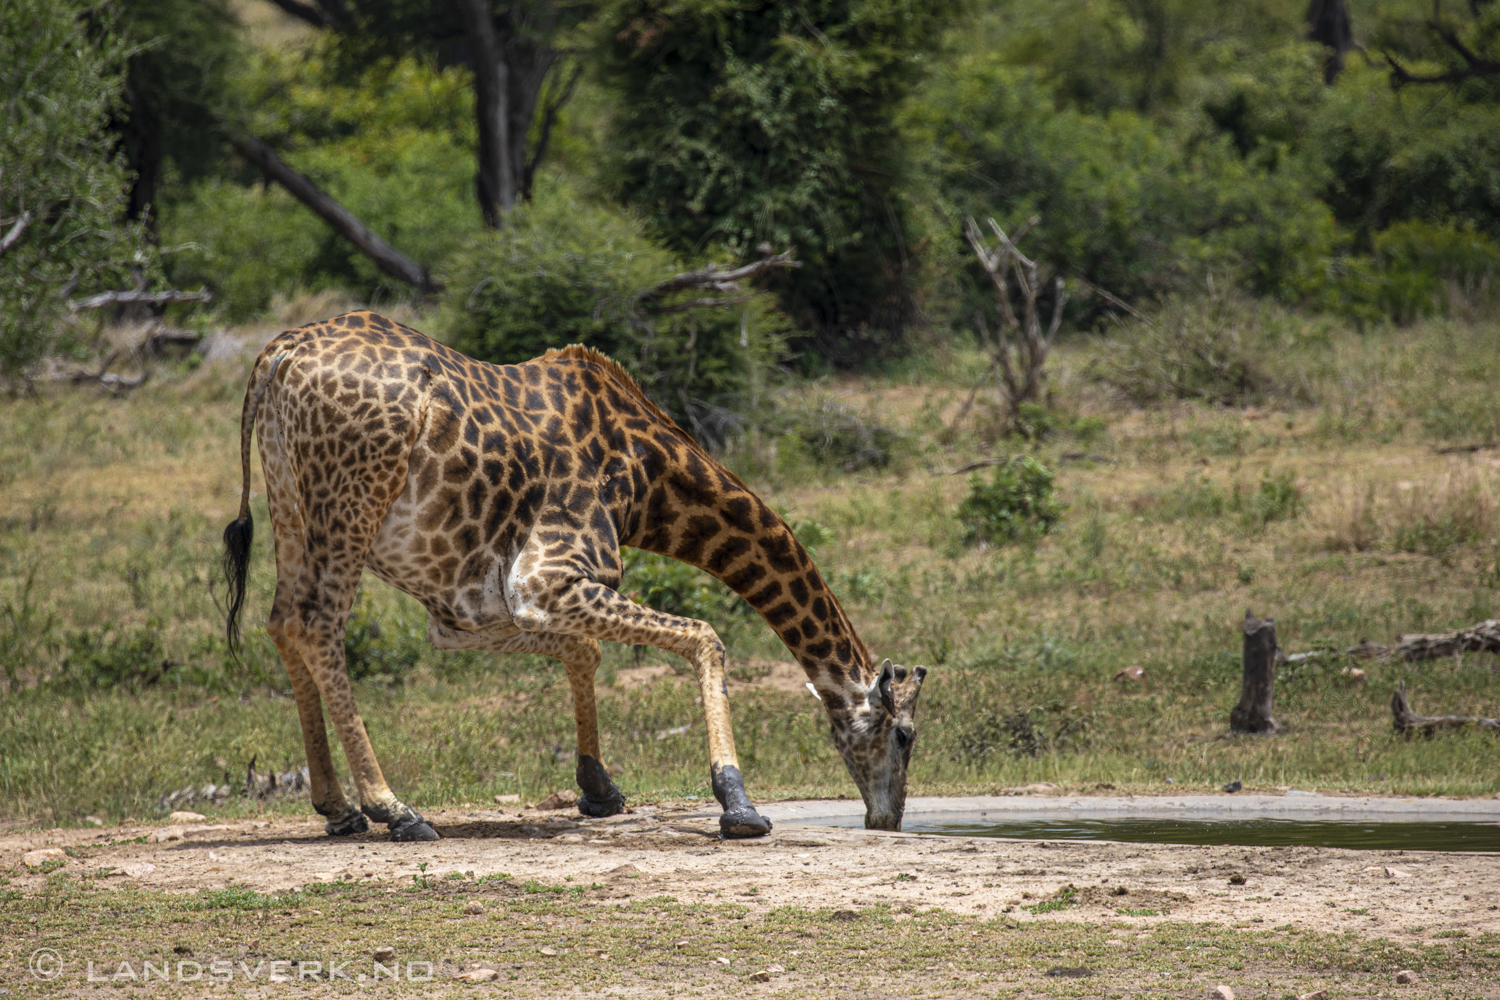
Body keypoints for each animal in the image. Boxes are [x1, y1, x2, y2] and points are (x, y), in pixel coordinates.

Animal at [222, 308, 924, 839]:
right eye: (905, 736)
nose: (887, 818)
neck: (647, 481)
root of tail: (278, 356)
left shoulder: (469, 610)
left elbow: (585, 650)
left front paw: (599, 788)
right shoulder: (543, 578)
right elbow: (705, 637)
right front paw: (739, 807)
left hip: (291, 503)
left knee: (283, 622)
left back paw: (337, 808)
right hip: (352, 501)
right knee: (319, 626)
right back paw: (395, 810)